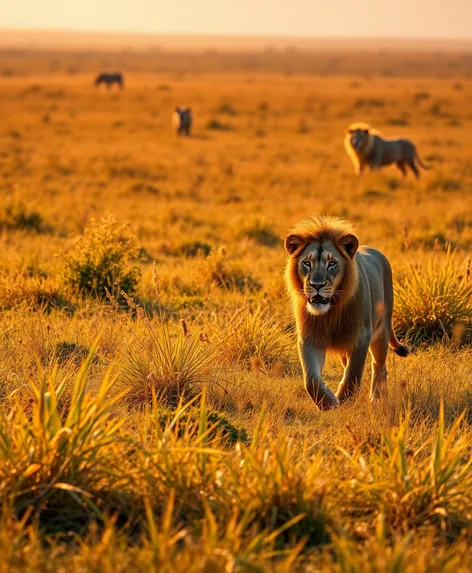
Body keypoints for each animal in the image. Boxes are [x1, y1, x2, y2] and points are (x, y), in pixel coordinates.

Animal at [284, 217, 410, 408]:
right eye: (307, 263)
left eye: (332, 263)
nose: (317, 285)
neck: (331, 311)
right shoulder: (310, 338)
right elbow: (311, 379)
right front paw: (328, 402)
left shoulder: (360, 336)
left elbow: (353, 374)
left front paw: (343, 401)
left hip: (382, 330)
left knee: (379, 366)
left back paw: (377, 398)